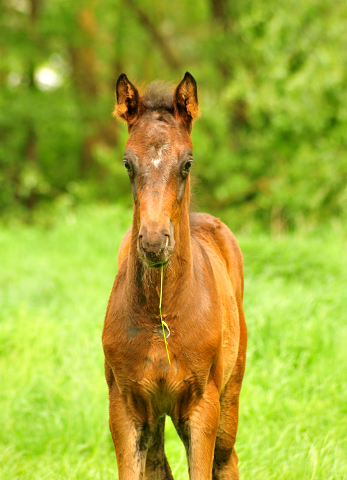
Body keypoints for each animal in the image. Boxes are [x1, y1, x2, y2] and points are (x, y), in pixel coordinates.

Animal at [101, 72, 247, 480]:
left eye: (187, 163)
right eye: (127, 163)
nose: (154, 242)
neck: (162, 316)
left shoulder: (202, 405)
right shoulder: (125, 405)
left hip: (230, 392)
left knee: (226, 459)